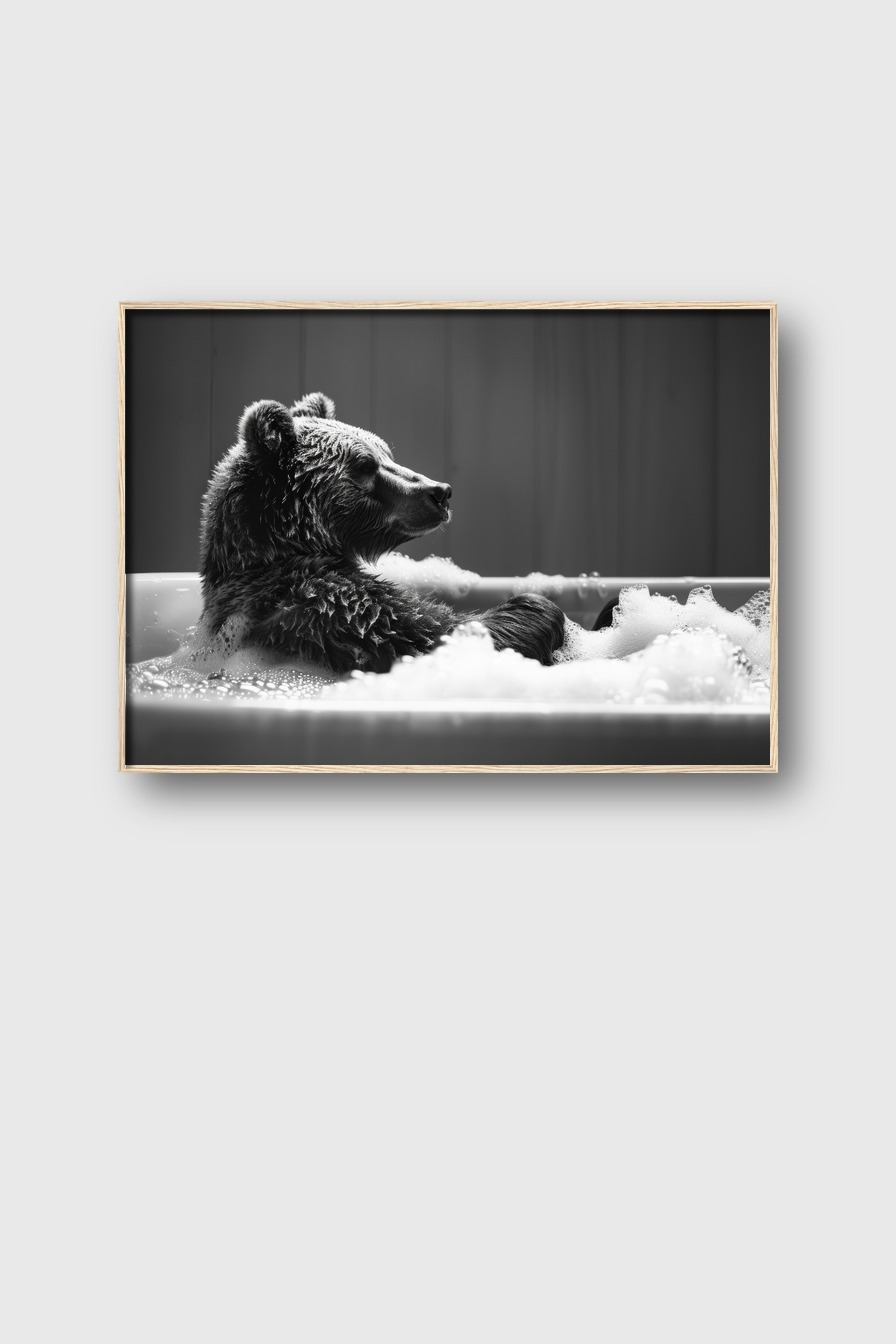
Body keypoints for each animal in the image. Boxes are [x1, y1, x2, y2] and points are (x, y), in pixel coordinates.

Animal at [198, 392, 565, 675]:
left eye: (387, 454)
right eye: (364, 466)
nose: (440, 492)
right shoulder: (324, 605)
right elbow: (425, 633)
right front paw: (534, 609)